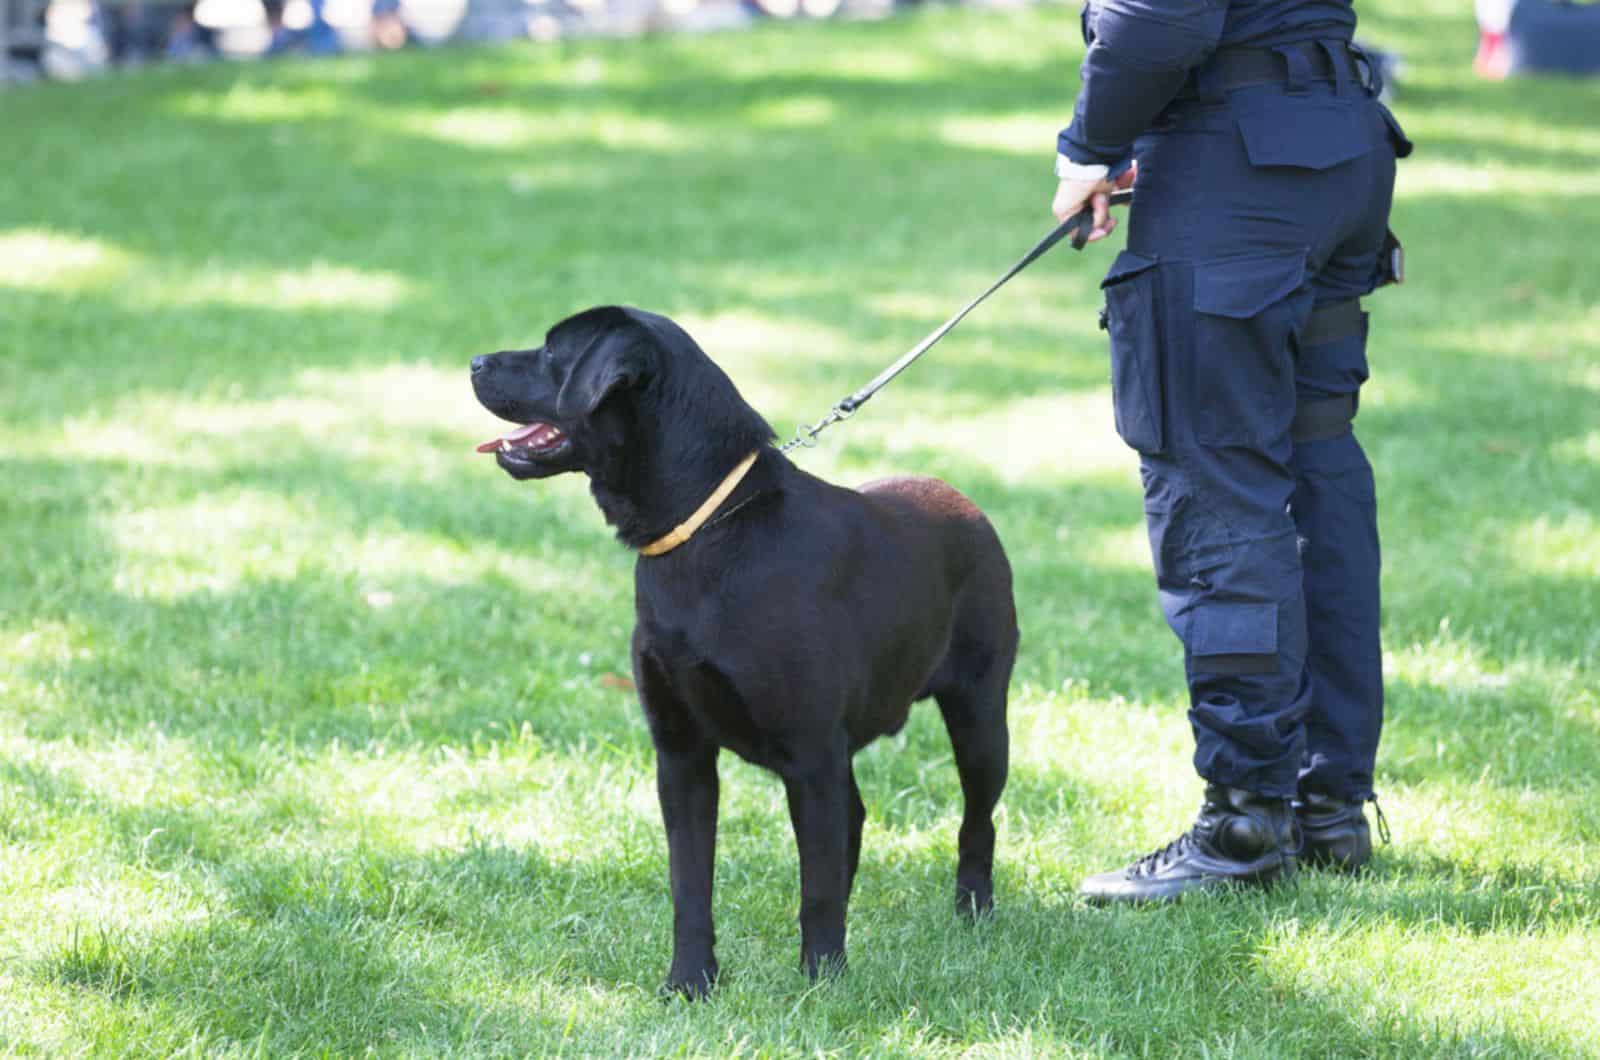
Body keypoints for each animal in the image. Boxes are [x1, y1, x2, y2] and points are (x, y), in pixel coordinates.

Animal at [470, 305, 1011, 999]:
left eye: (550, 352)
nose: (475, 361)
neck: (710, 530)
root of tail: (969, 507)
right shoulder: (681, 754)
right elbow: (690, 883)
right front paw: (689, 982)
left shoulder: (810, 754)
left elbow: (816, 890)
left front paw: (823, 982)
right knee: (853, 823)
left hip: (979, 714)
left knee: (977, 818)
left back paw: (974, 911)